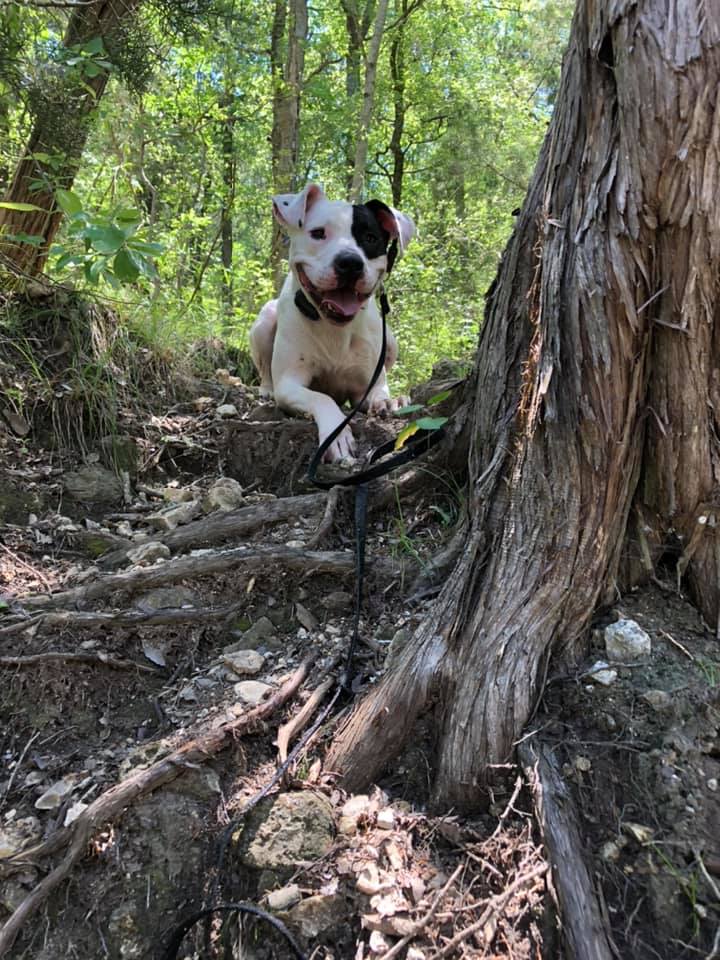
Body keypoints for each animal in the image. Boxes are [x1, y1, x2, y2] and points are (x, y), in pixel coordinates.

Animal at [249, 186, 414, 464]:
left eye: (370, 238)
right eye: (318, 233)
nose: (350, 263)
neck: (334, 328)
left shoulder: (365, 387)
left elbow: (378, 392)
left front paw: (390, 401)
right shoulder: (290, 384)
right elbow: (322, 397)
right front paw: (336, 435)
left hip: (390, 341)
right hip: (264, 323)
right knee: (266, 370)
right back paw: (266, 390)